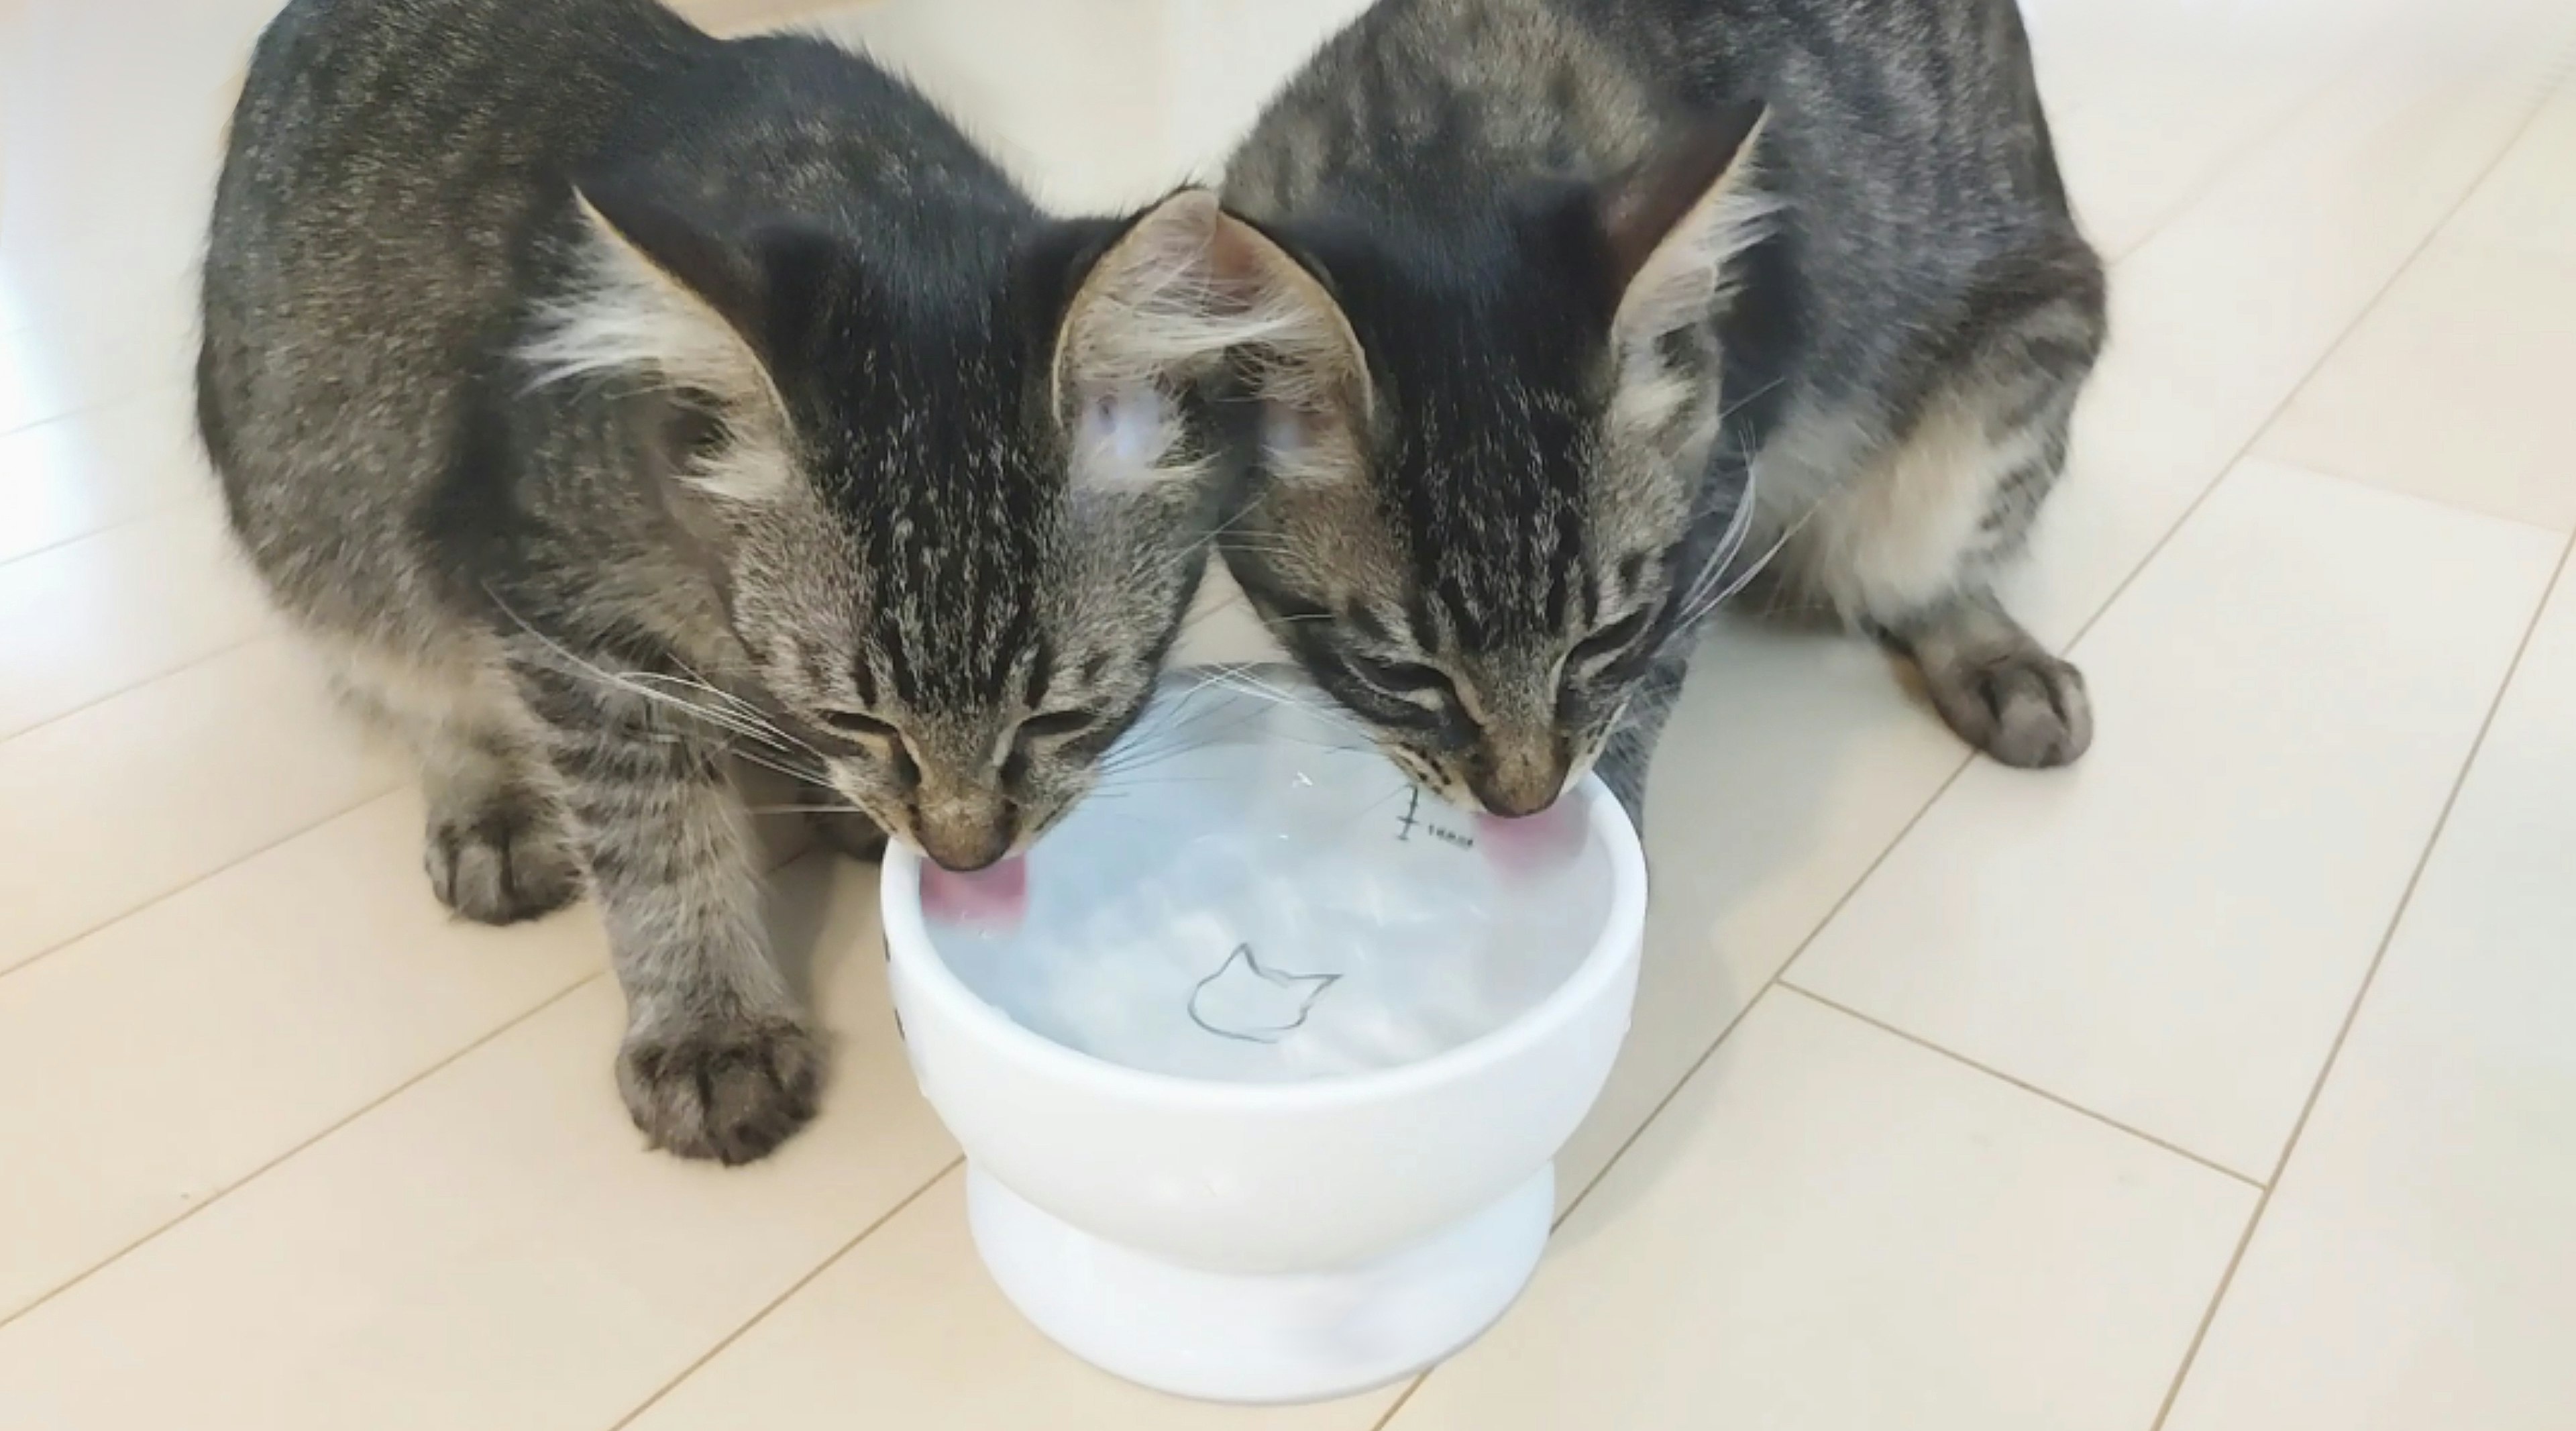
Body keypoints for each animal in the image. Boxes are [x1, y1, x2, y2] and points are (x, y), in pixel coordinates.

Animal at [195, 0, 1283, 1165]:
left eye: (1057, 717)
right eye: (861, 717)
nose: (965, 852)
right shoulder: (566, 616)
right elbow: (655, 838)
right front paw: (709, 1026)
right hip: (324, 528)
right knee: (403, 682)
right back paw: (488, 805)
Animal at [1200, 0, 2092, 820]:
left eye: (1607, 639)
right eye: (1397, 673)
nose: (1525, 805)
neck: (1437, 143)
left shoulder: (1720, 484)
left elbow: (1643, 693)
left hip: (2005, 395)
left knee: (1923, 572)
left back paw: (2002, 665)